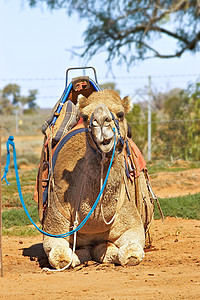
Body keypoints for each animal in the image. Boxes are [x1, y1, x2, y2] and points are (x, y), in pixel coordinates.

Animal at [42, 89, 154, 270]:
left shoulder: (132, 226)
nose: (101, 120)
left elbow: (130, 255)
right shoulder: (54, 230)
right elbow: (62, 258)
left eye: (120, 114)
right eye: (86, 116)